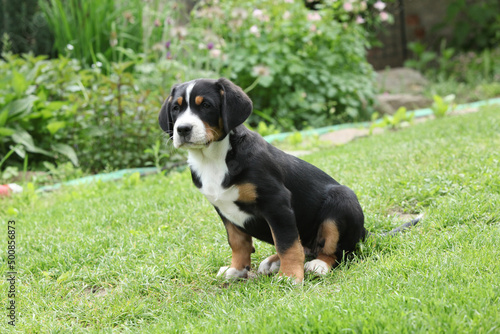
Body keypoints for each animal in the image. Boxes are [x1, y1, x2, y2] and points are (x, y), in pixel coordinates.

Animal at [158, 79, 366, 284]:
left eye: (206, 105)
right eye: (176, 108)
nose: (182, 129)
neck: (212, 159)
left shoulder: (276, 202)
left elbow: (287, 243)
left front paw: (289, 276)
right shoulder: (223, 209)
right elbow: (238, 243)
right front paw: (237, 270)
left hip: (342, 199)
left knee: (337, 251)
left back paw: (318, 265)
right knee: (308, 247)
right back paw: (273, 262)